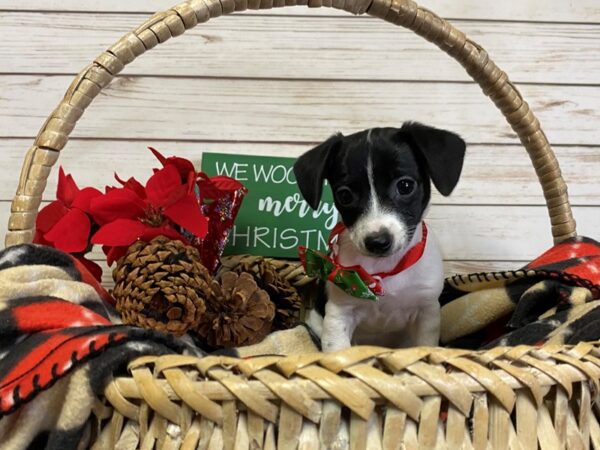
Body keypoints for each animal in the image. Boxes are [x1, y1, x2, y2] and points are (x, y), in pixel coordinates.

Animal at [292, 123, 466, 352]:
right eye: (345, 195)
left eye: (405, 186)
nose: (377, 242)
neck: (385, 271)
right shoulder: (339, 315)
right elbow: (338, 351)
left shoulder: (427, 313)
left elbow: (425, 345)